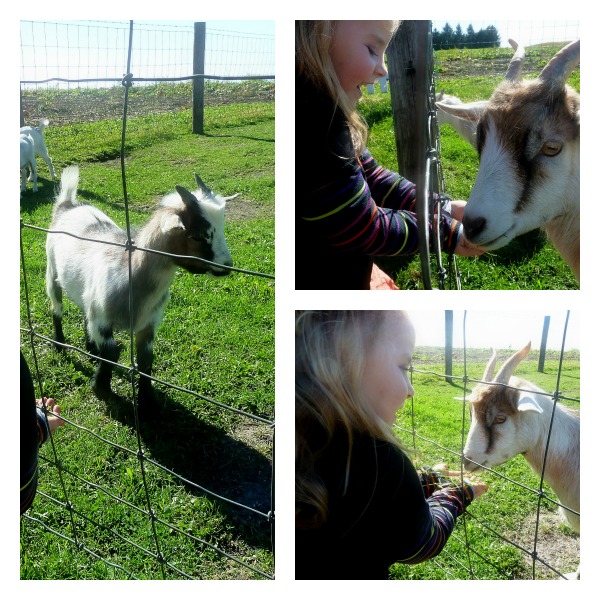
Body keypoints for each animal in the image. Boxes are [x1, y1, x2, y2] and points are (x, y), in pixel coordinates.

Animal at [45, 166, 234, 414]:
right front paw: (102, 390)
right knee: (56, 307)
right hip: (52, 270)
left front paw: (147, 401)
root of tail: (68, 205)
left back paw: (91, 349)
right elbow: (112, 353)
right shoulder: (102, 317)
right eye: (197, 236)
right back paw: (59, 343)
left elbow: (146, 360)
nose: (227, 266)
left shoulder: (148, 323)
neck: (131, 270)